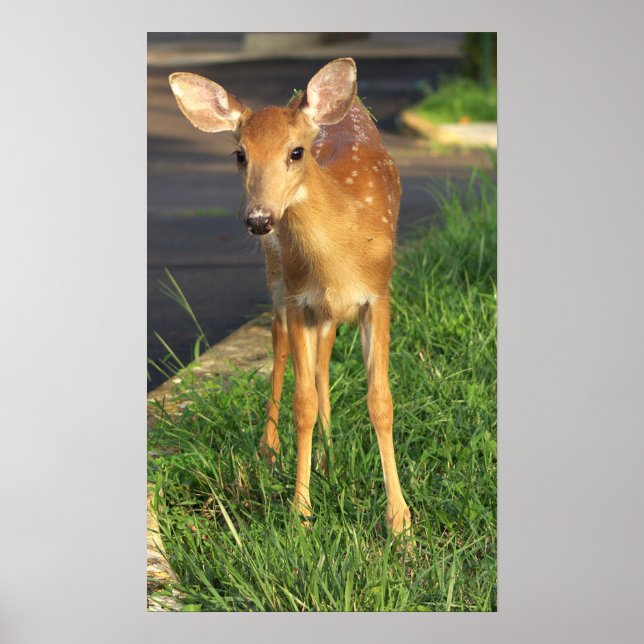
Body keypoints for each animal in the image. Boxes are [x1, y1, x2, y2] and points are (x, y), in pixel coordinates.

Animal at [169, 58, 411, 536]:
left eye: (297, 152)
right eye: (240, 154)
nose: (259, 219)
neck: (341, 254)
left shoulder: (378, 295)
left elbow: (381, 401)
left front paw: (400, 524)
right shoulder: (301, 298)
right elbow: (303, 403)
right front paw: (301, 513)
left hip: (325, 308)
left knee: (322, 361)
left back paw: (329, 455)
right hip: (278, 276)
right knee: (280, 342)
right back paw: (272, 450)